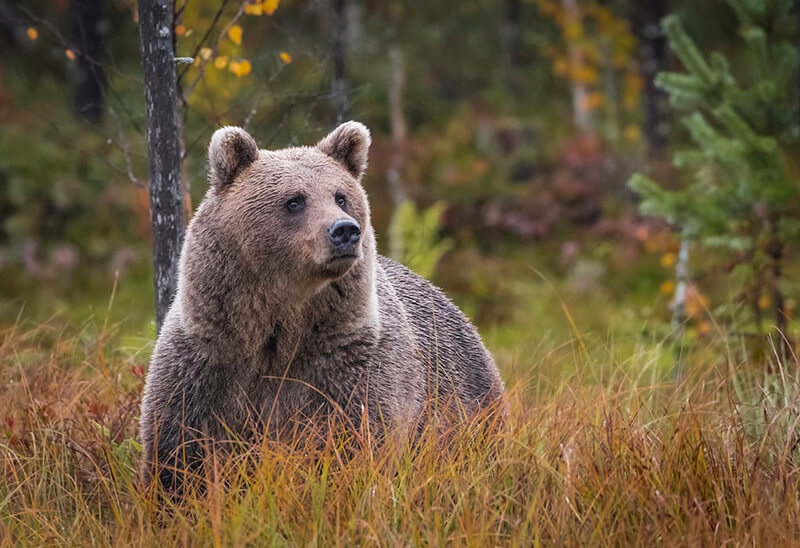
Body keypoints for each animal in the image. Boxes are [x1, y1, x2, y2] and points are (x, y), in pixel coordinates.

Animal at [138, 122, 500, 490]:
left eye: (341, 196)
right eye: (295, 200)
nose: (345, 230)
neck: (278, 327)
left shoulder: (347, 365)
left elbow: (354, 440)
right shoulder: (207, 359)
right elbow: (182, 445)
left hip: (464, 398)